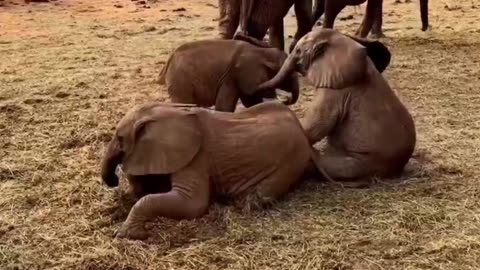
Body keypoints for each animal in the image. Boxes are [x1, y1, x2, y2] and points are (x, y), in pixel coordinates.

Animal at [99, 102, 328, 240]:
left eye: (120, 138)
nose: (112, 181)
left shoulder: (196, 159)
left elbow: (193, 204)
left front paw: (127, 235)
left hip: (292, 160)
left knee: (257, 197)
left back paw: (241, 204)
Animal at [159, 34, 298, 112]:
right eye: (289, 74)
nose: (286, 100)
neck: (262, 52)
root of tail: (170, 59)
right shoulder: (232, 76)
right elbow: (224, 107)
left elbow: (251, 102)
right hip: (180, 81)